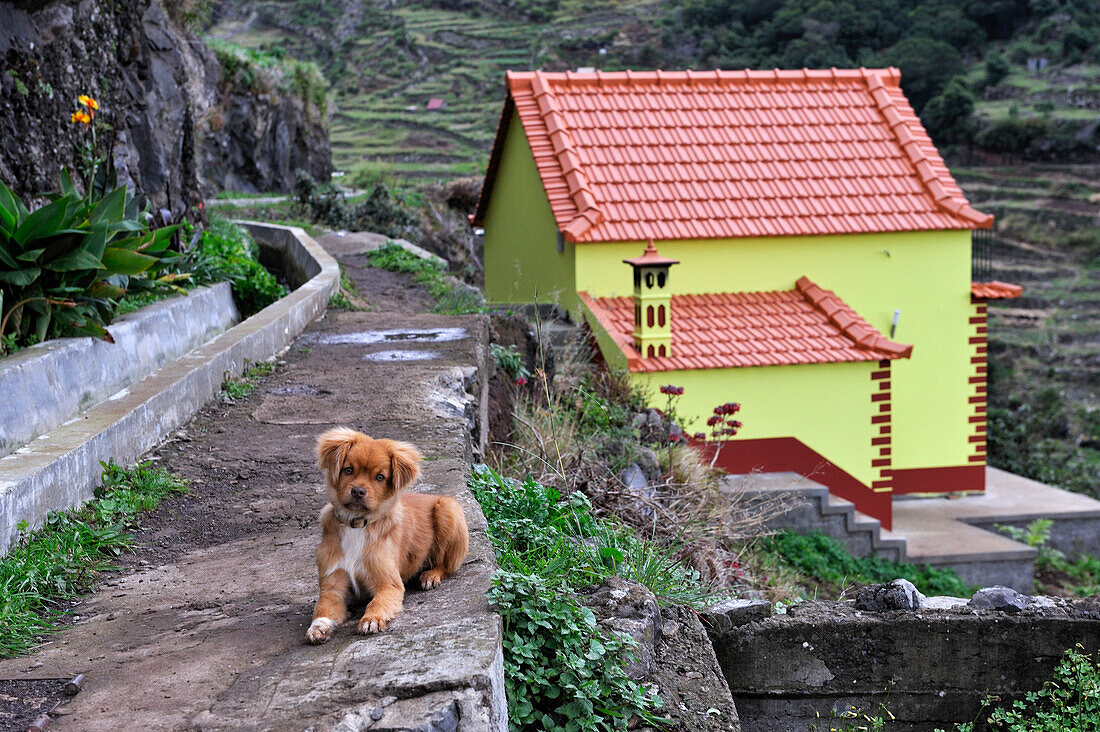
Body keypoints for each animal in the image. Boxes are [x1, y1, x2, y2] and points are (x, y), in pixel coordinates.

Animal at [305, 424, 468, 642]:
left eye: (380, 477)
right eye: (348, 470)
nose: (358, 491)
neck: (357, 525)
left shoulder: (388, 584)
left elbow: (377, 602)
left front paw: (371, 619)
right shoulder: (333, 584)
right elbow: (322, 606)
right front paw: (318, 626)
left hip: (447, 508)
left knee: (447, 564)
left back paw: (430, 576)